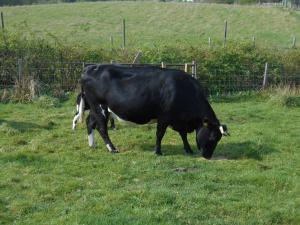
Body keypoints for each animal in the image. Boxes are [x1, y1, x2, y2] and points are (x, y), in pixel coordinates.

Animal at [80, 63, 230, 158]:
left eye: (219, 138)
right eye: (212, 136)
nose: (208, 156)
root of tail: (90, 67)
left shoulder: (179, 120)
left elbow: (183, 135)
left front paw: (188, 149)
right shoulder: (164, 116)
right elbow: (160, 134)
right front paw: (158, 152)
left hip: (95, 109)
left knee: (90, 122)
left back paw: (92, 145)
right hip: (100, 108)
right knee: (102, 128)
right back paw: (112, 149)